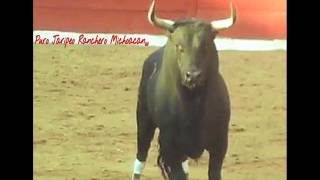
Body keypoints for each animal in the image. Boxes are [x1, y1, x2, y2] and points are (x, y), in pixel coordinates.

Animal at [132, 0, 235, 179]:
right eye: (179, 47)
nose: (193, 76)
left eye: (205, 46)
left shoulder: (220, 144)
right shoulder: (170, 147)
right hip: (143, 118)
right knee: (141, 154)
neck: (193, 106)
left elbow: (214, 172)